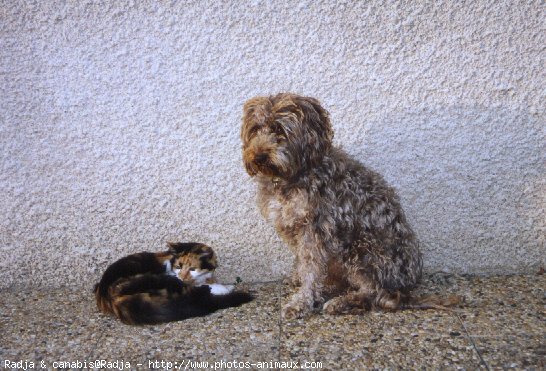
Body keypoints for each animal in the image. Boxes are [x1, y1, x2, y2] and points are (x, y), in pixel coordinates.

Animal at [94, 241, 253, 326]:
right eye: (178, 266)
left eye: (193, 268)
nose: (182, 276)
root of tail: (107, 296)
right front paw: (224, 287)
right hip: (157, 280)